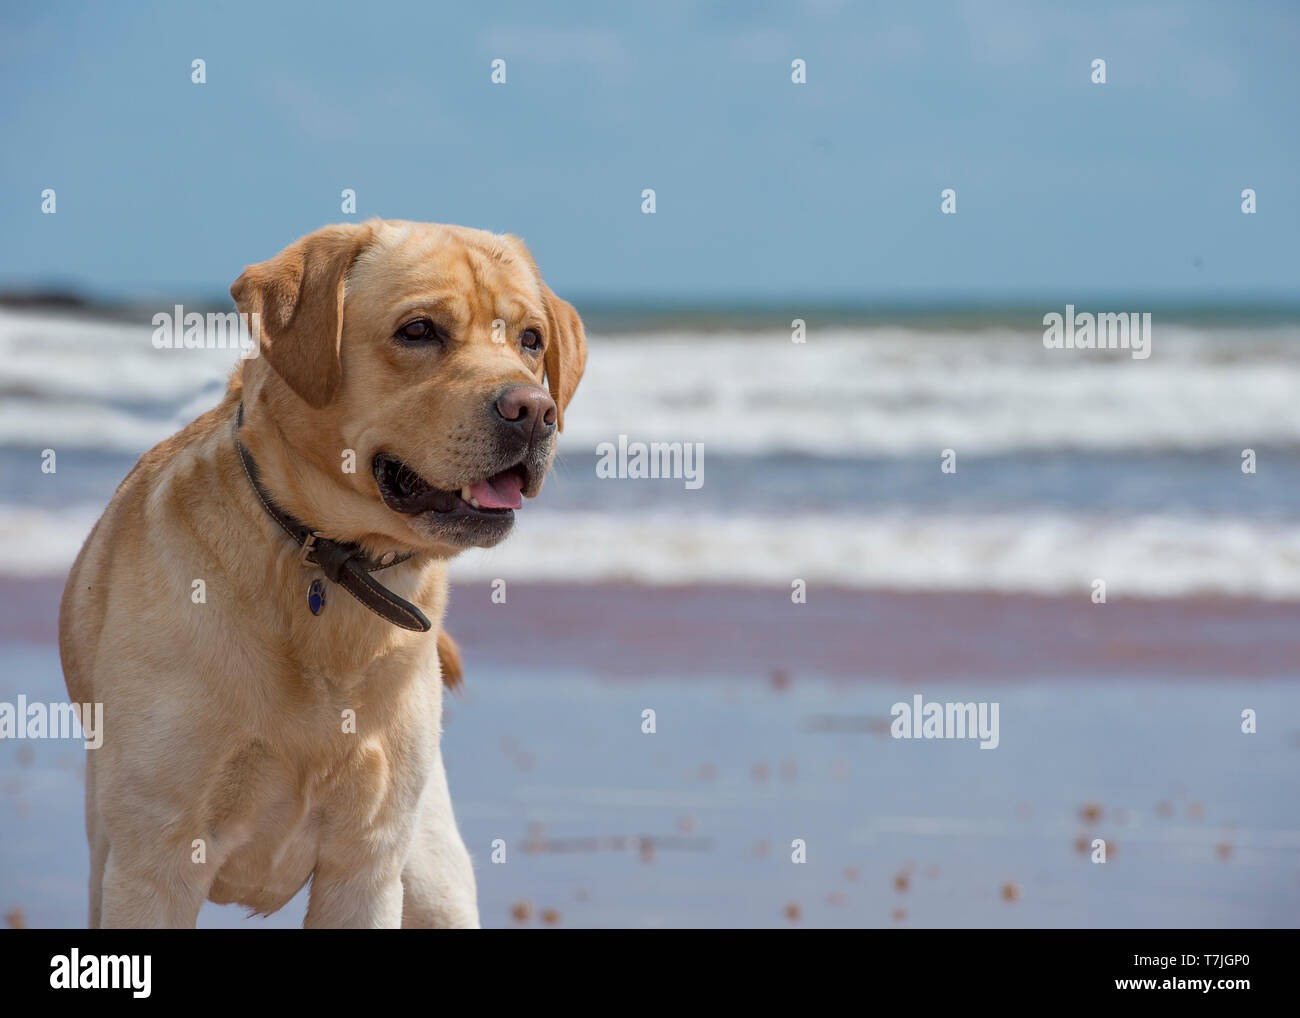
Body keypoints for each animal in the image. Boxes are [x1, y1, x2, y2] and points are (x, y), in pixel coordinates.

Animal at [59, 218, 590, 925]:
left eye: (532, 340)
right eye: (419, 330)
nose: (535, 411)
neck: (331, 563)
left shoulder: (366, 865)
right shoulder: (154, 864)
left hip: (432, 873)